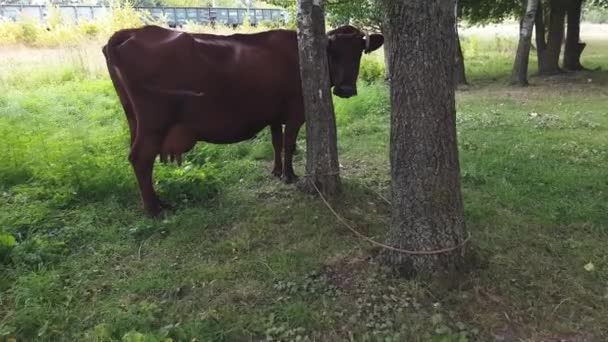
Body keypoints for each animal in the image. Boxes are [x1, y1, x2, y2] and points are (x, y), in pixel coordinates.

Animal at [102, 24, 382, 216]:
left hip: (134, 119)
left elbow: (276, 142)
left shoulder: (273, 114)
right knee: (141, 158)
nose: (346, 89)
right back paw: (155, 210)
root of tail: (131, 32)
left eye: (359, 52)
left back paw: (157, 203)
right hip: (154, 123)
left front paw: (277, 171)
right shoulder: (295, 112)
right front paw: (289, 175)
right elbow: (289, 143)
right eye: (333, 53)